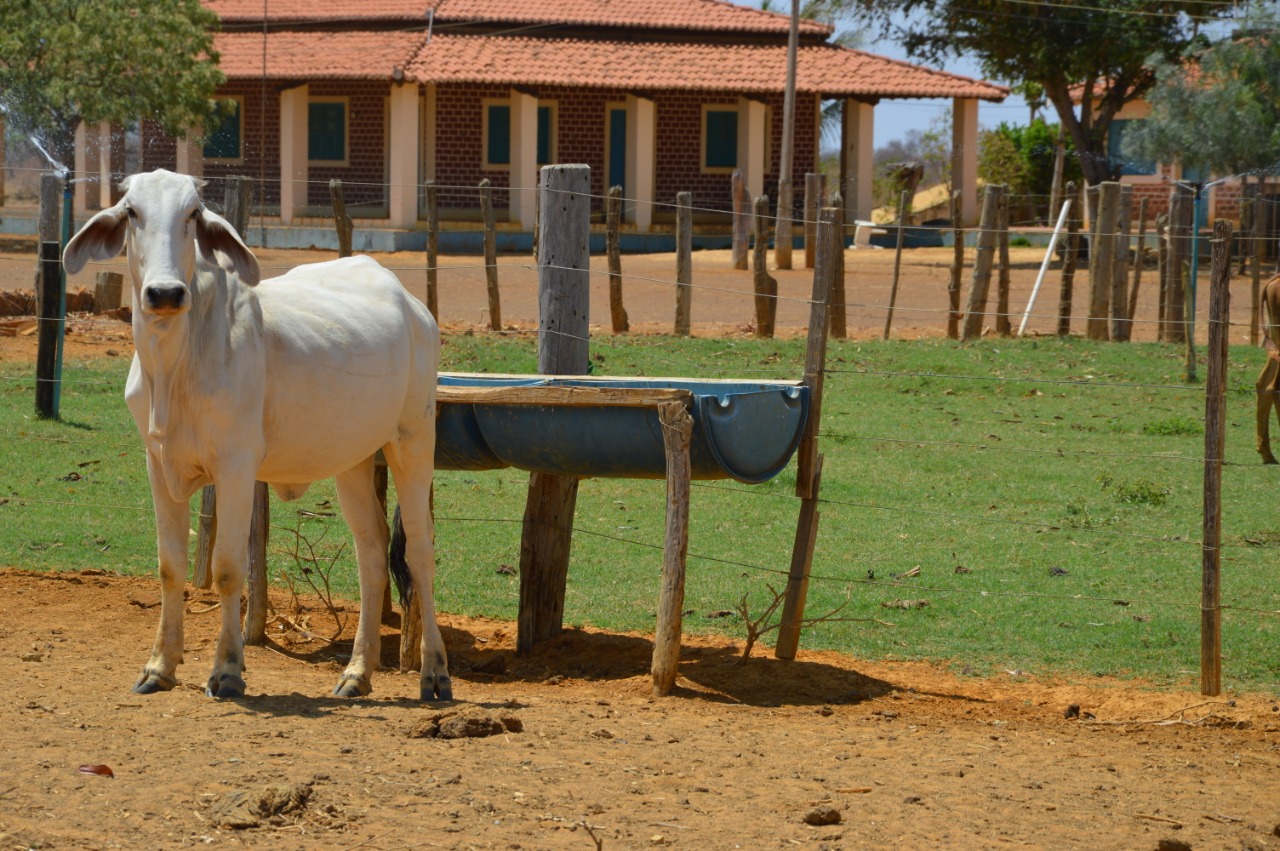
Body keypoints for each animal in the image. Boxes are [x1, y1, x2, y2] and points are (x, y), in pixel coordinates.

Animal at [62, 168, 450, 701]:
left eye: (193, 213)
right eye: (132, 212)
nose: (165, 294)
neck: (175, 363)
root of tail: (414, 306)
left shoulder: (236, 466)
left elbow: (228, 568)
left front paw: (226, 671)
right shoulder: (158, 463)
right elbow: (169, 566)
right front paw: (159, 666)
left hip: (413, 440)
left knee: (419, 551)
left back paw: (435, 674)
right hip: (353, 459)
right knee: (371, 552)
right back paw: (357, 673)